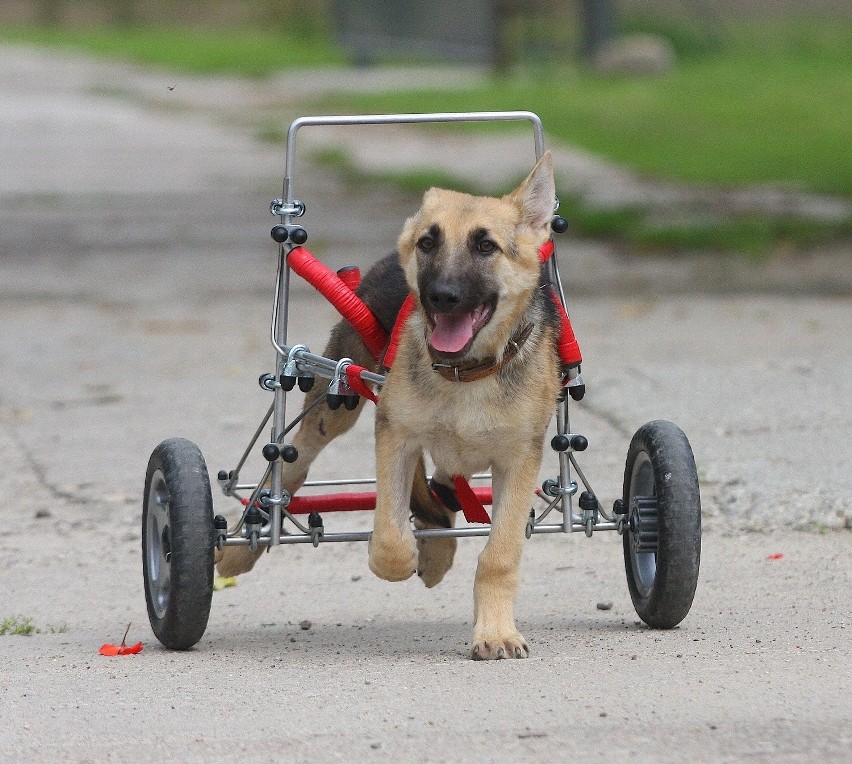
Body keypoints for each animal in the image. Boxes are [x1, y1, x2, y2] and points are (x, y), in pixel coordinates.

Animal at [216, 152, 564, 660]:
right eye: (428, 243)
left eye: (486, 246)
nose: (441, 295)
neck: (465, 374)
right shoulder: (395, 436)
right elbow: (389, 541)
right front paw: (413, 555)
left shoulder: (519, 460)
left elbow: (498, 555)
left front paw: (496, 633)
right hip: (335, 409)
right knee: (289, 468)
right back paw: (246, 541)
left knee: (443, 485)